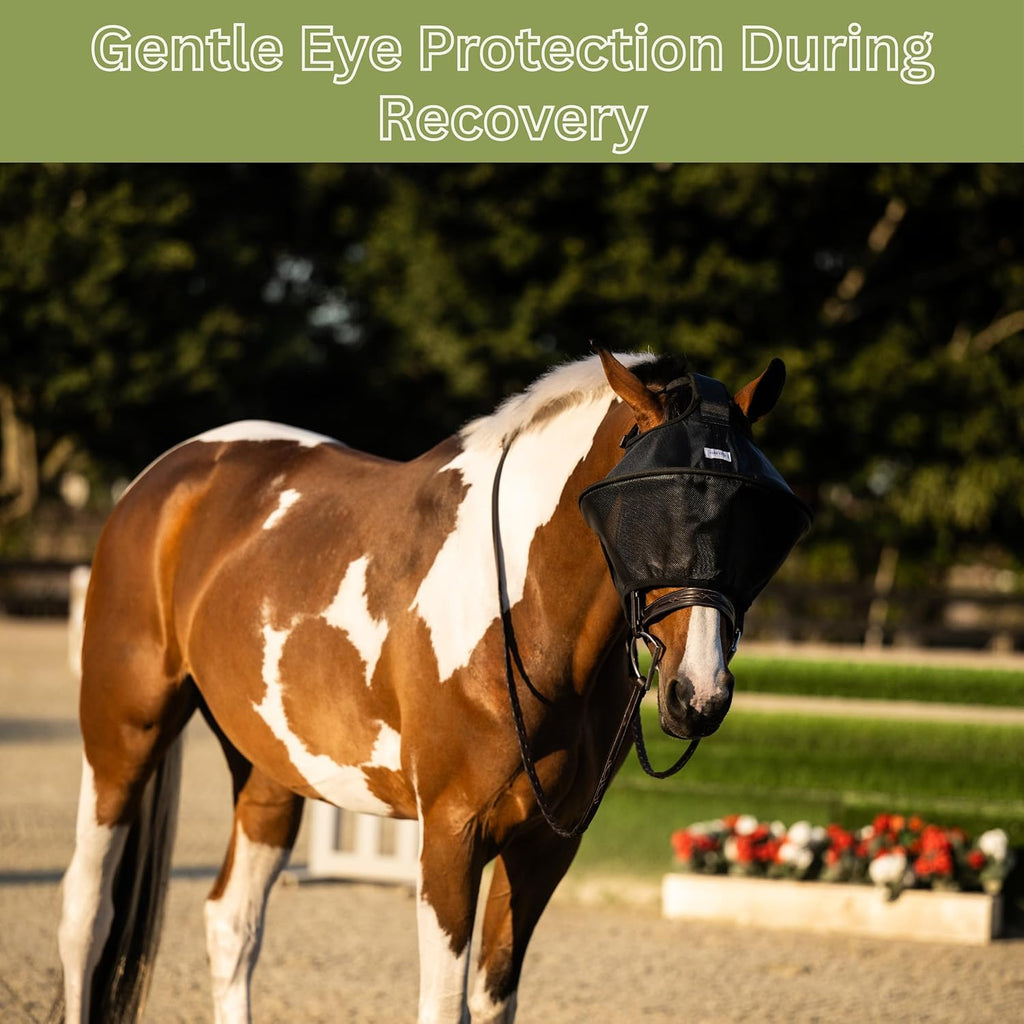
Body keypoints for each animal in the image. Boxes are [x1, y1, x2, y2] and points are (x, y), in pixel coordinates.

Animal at [55, 348, 805, 1023]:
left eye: (754, 519)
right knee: (86, 915)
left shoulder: (544, 848)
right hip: (122, 738)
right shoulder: (451, 834)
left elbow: (493, 999)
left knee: (231, 924)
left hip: (270, 770)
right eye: (654, 509)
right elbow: (444, 1008)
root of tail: (164, 477)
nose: (698, 694)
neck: (518, 609)